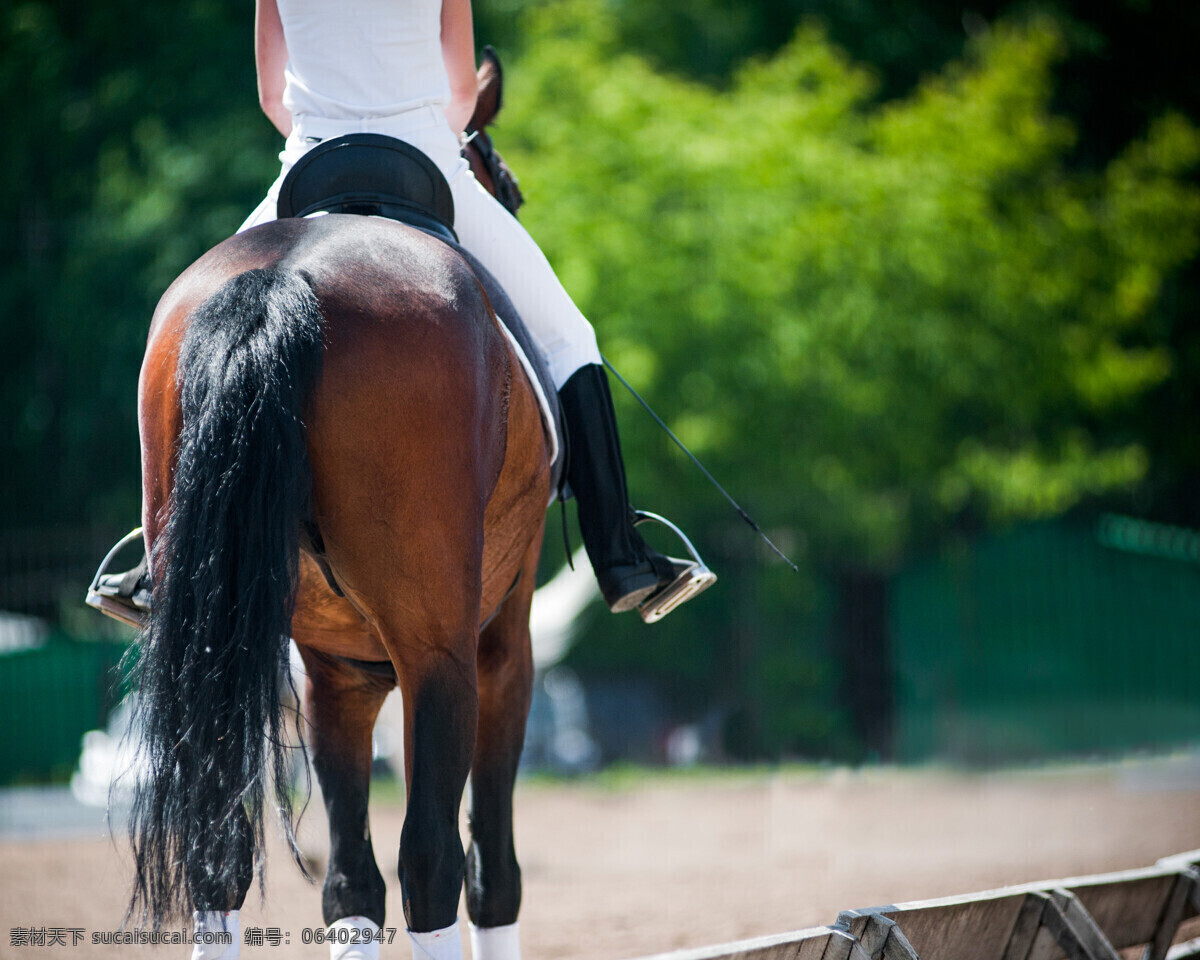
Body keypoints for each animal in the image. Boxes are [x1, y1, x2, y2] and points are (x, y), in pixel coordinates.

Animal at [125, 57, 547, 959]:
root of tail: (281, 280)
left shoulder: (333, 675)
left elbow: (349, 878)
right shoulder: (502, 647)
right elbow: (491, 869)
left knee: (224, 850)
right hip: (442, 655)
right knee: (435, 859)